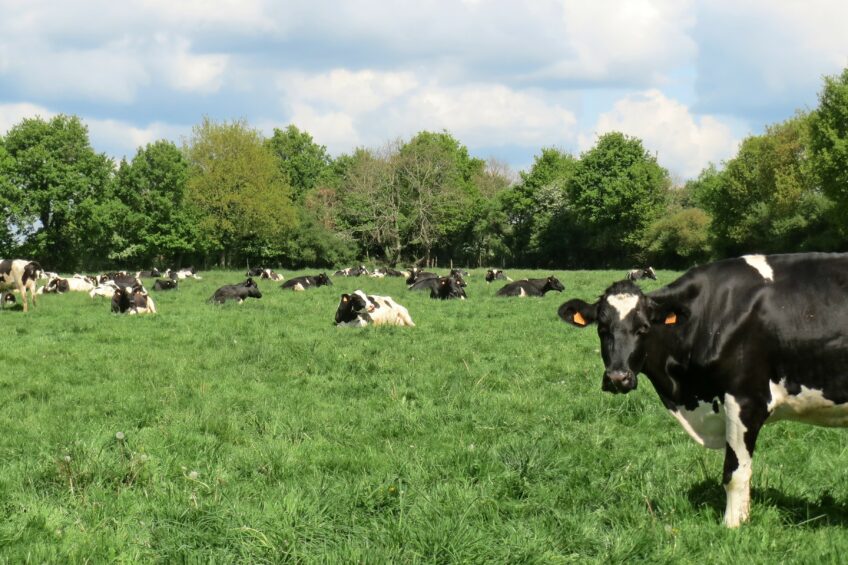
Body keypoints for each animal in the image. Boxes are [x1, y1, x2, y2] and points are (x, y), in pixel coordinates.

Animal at [556, 253, 848, 528]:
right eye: (602, 329)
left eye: (643, 329)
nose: (618, 378)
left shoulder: (746, 399)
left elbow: (735, 473)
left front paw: (732, 526)